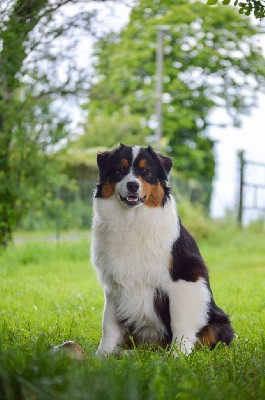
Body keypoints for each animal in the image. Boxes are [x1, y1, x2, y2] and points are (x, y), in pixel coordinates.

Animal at [91, 142, 233, 354]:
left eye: (146, 171)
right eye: (120, 169)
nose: (132, 185)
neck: (133, 220)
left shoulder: (185, 276)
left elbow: (180, 322)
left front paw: (178, 355)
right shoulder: (114, 283)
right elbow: (109, 324)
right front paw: (102, 355)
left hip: (218, 321)